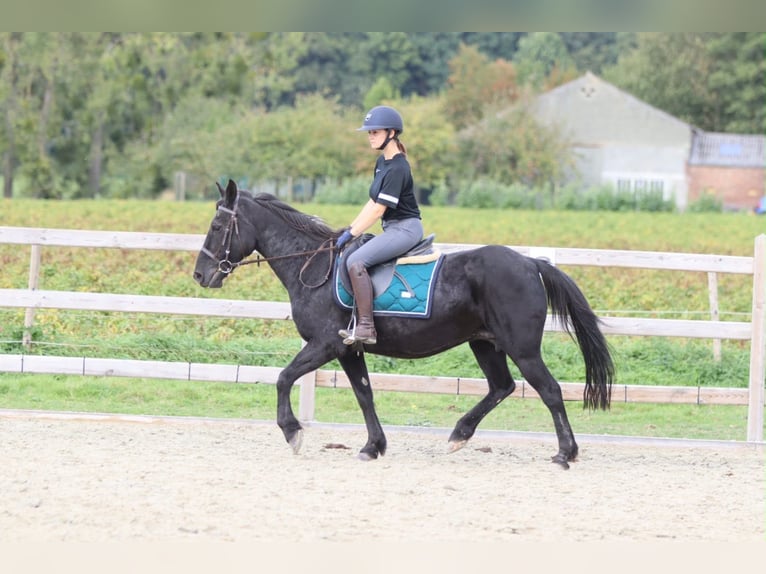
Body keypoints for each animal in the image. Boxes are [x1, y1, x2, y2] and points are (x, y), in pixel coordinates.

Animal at [193, 180, 614, 469]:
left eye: (217, 226)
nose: (200, 275)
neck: (312, 265)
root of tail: (530, 263)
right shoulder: (348, 349)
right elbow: (364, 394)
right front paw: (372, 447)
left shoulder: (325, 344)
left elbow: (283, 378)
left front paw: (293, 431)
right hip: (485, 343)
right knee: (502, 387)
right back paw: (460, 435)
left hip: (522, 348)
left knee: (550, 391)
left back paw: (565, 454)